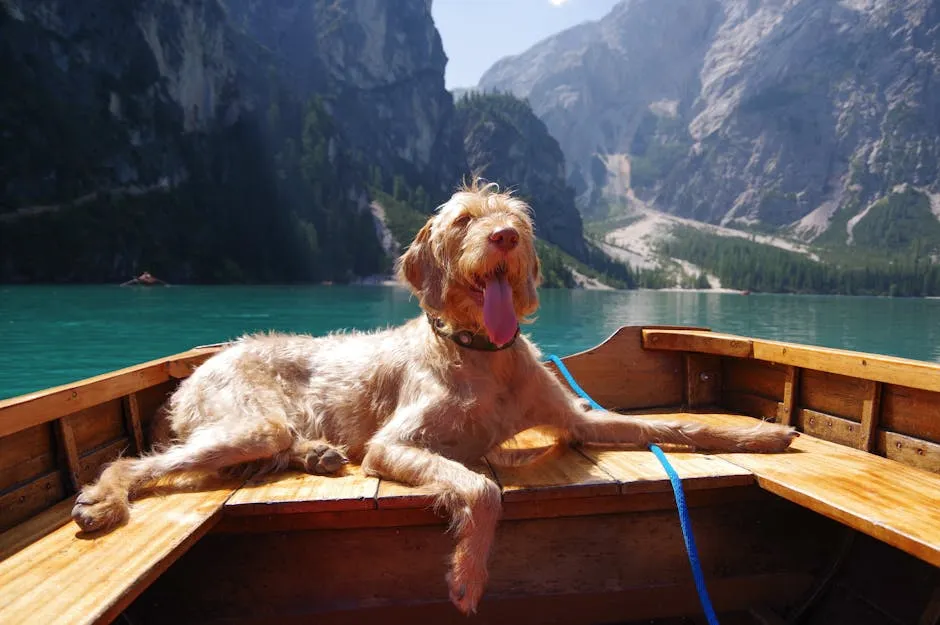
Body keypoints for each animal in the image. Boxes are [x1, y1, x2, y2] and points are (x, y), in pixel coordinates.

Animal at [70, 178, 796, 612]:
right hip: (247, 423)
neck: (481, 355)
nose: (504, 237)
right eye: (465, 219)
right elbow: (481, 488)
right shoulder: (395, 444)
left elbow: (682, 426)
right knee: (135, 461)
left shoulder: (578, 421)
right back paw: (104, 499)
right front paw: (468, 575)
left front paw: (760, 433)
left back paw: (318, 454)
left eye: (515, 219)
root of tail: (196, 372)